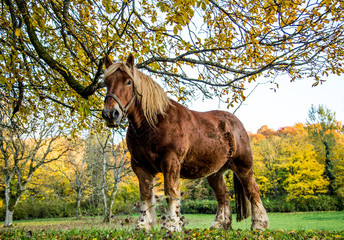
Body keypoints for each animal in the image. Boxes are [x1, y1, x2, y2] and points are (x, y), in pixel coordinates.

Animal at [101, 54, 268, 231]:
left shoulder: (171, 162)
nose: (110, 113)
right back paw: (219, 225)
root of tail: (236, 124)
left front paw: (171, 225)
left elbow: (171, 193)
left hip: (244, 167)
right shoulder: (140, 166)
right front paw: (143, 225)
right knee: (223, 195)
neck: (153, 124)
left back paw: (259, 225)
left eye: (128, 82)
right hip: (215, 173)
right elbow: (145, 196)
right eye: (106, 82)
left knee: (253, 191)